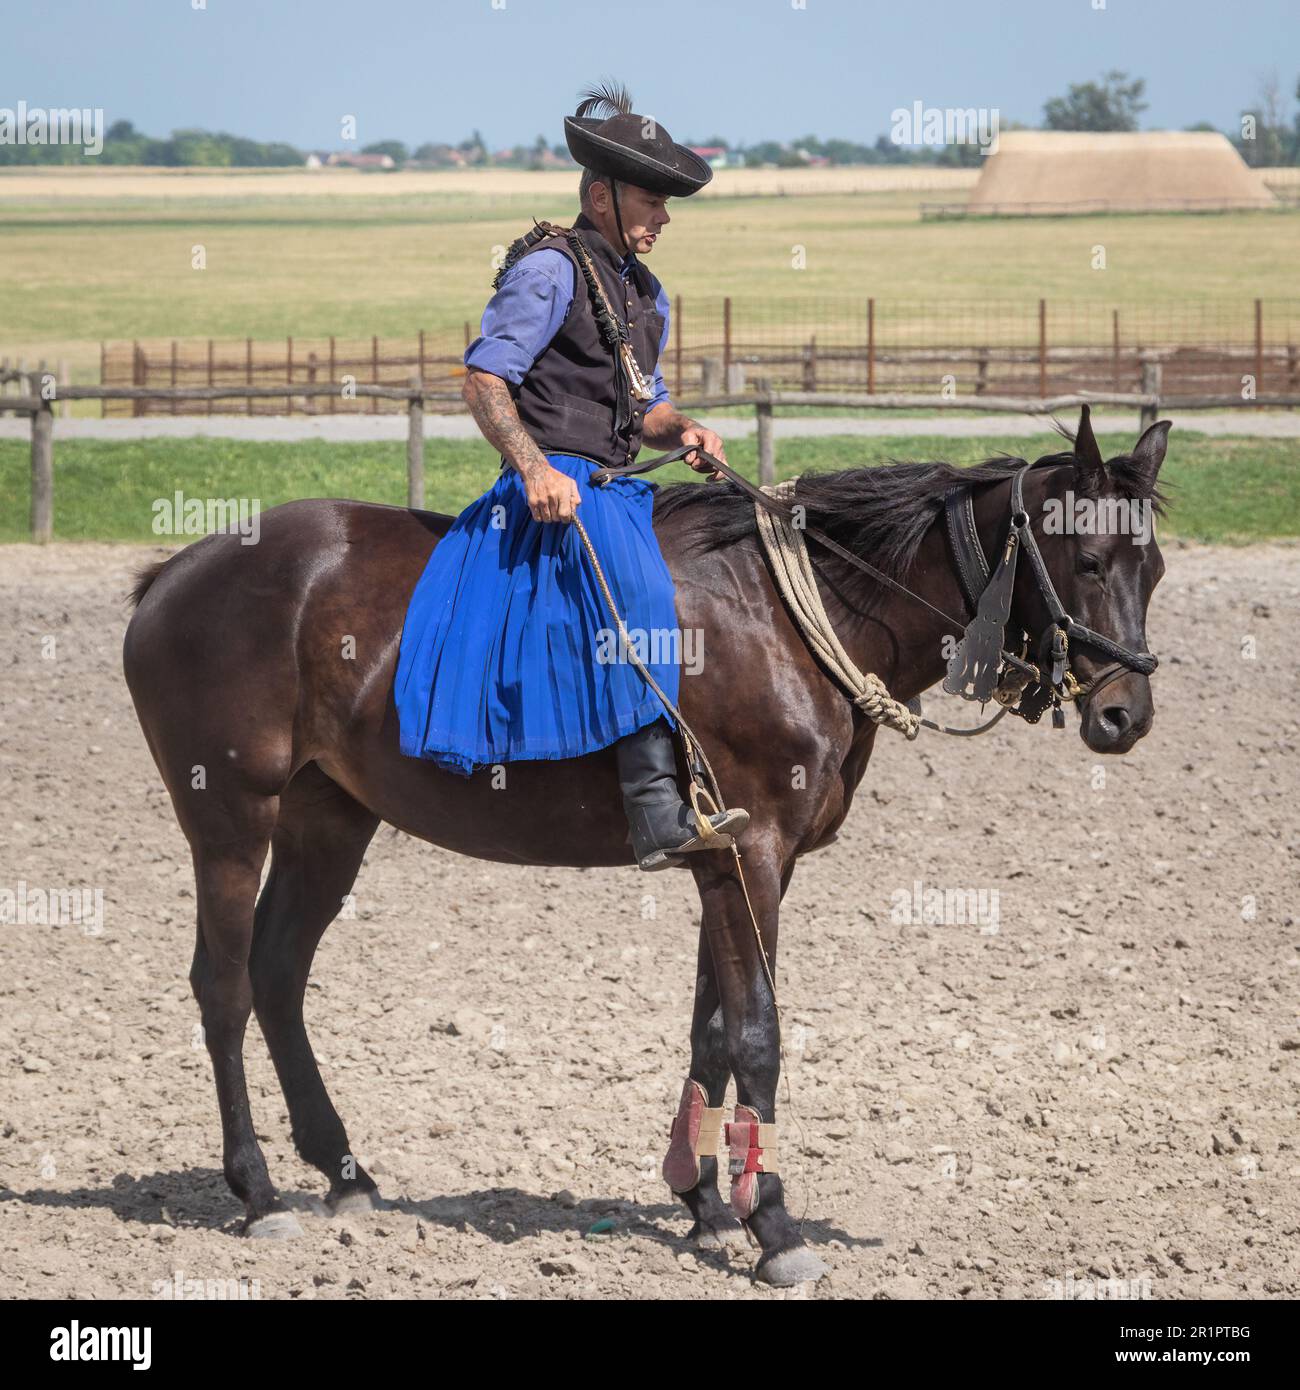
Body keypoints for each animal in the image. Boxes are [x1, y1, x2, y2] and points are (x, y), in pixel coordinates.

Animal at [122, 405, 1173, 1284]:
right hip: (232, 821)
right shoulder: (752, 858)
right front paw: (773, 1226)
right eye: (1088, 561)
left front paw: (703, 1196)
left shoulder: (729, 862)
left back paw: (343, 1170)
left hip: (328, 822)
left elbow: (711, 1028)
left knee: (277, 973)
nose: (1126, 714)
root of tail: (177, 573)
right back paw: (257, 1190)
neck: (791, 617)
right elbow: (758, 1036)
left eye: (1151, 567)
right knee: (223, 986)